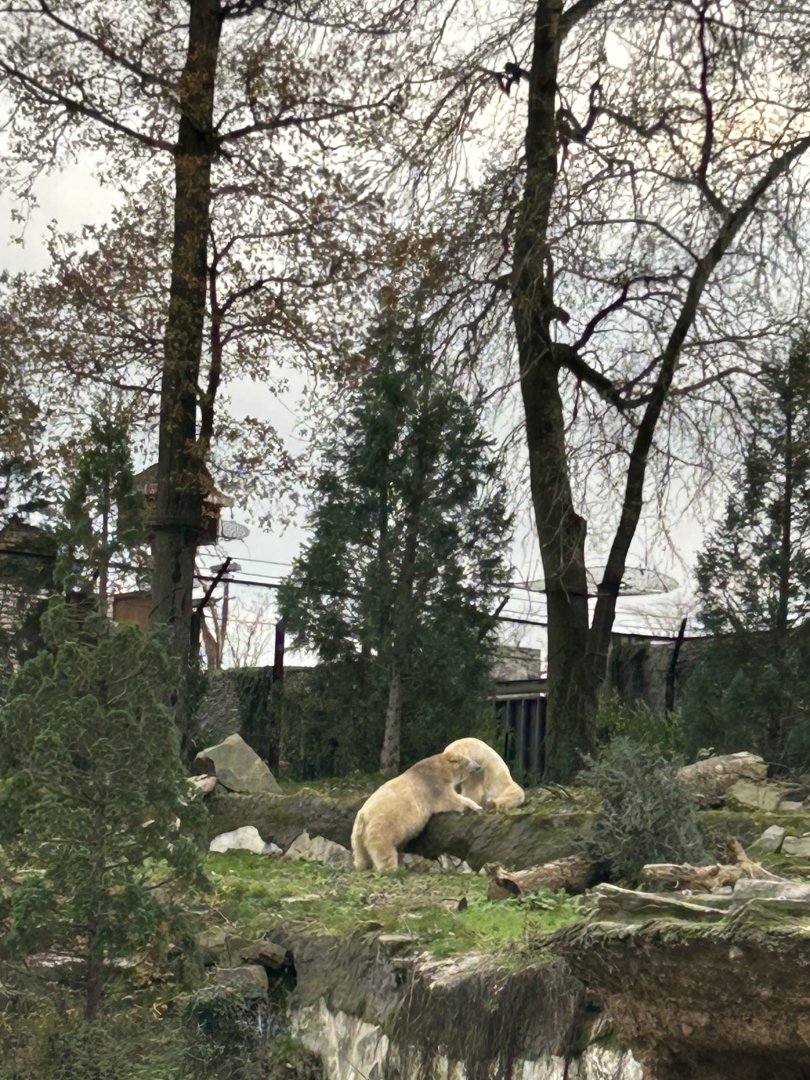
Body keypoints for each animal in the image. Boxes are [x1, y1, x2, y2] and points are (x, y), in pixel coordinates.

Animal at [351, 751, 484, 872]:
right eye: (468, 759)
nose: (478, 766)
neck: (439, 768)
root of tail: (363, 817)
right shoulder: (434, 785)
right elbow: (450, 800)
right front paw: (476, 807)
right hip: (381, 829)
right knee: (384, 852)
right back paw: (394, 870)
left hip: (357, 835)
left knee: (359, 853)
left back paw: (361, 866)